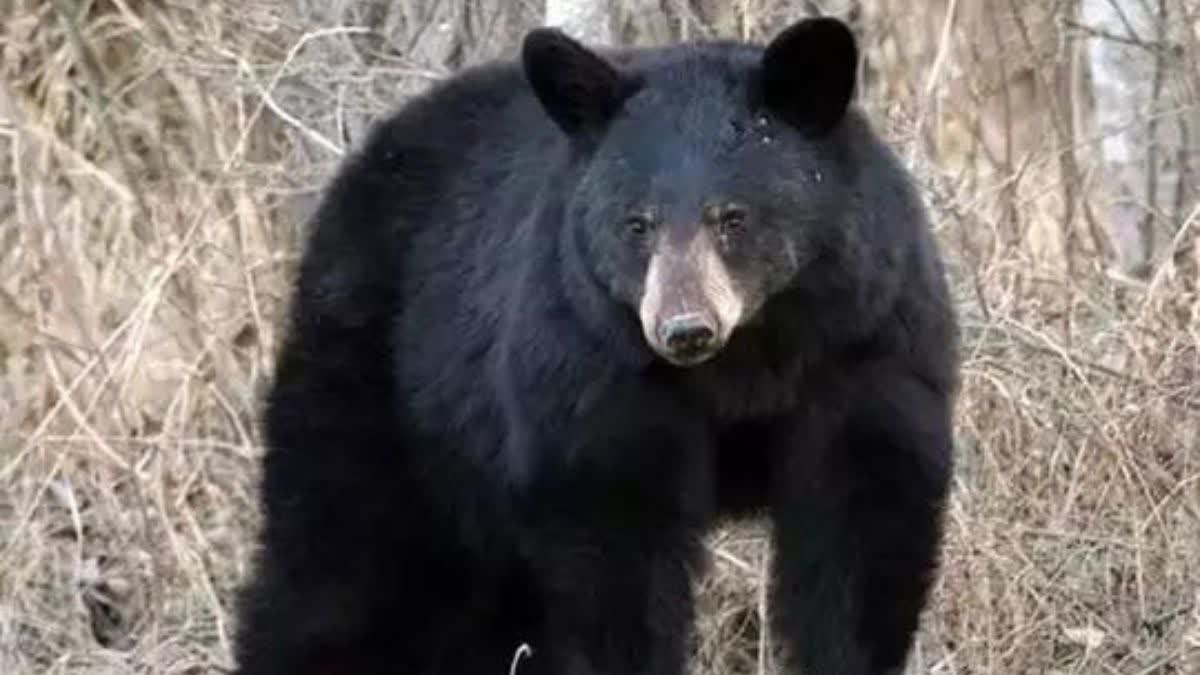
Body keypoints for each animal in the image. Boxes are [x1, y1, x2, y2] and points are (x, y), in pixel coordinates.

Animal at [236, 14, 955, 672]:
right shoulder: (590, 368)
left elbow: (859, 526)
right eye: (637, 223)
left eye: (732, 217)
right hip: (383, 377)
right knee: (332, 556)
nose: (684, 328)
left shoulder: (865, 341)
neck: (746, 358)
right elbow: (616, 548)